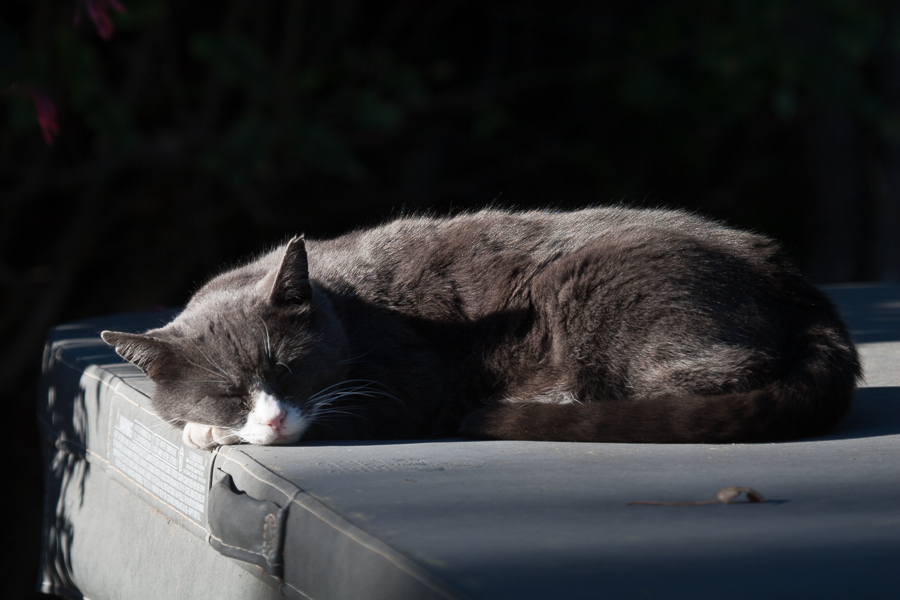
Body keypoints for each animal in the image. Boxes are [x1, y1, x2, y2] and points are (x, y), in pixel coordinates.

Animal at [102, 205, 860, 446]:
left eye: (287, 369)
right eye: (228, 391)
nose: (270, 417)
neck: (346, 305)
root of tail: (793, 282)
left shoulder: (412, 379)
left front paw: (211, 433)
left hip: (598, 285)